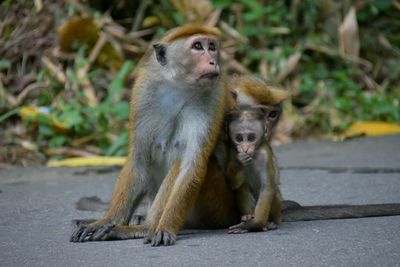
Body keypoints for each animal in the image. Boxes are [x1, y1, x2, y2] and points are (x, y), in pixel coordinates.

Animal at [70, 24, 230, 247]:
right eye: (198, 46)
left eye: (212, 47)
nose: (213, 61)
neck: (179, 88)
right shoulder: (143, 93)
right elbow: (139, 160)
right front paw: (105, 221)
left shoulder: (213, 98)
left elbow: (192, 166)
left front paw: (165, 228)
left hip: (215, 207)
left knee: (180, 162)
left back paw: (145, 227)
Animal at [227, 105, 282, 234]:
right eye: (239, 138)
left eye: (251, 138)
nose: (245, 148)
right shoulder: (232, 151)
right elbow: (234, 184)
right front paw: (240, 162)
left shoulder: (265, 155)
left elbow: (267, 187)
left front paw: (251, 225)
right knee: (242, 186)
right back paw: (247, 216)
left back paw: (270, 223)